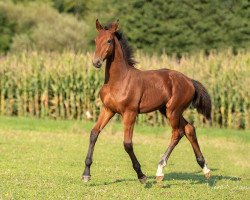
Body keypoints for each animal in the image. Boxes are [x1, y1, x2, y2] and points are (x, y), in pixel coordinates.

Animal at [82, 19, 211, 184]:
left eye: (109, 41)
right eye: (95, 40)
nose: (96, 62)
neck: (118, 80)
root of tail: (189, 81)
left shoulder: (130, 113)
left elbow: (127, 144)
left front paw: (141, 175)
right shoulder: (108, 109)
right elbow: (94, 133)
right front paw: (86, 174)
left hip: (173, 110)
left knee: (177, 133)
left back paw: (160, 170)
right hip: (166, 110)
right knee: (189, 129)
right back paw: (205, 168)